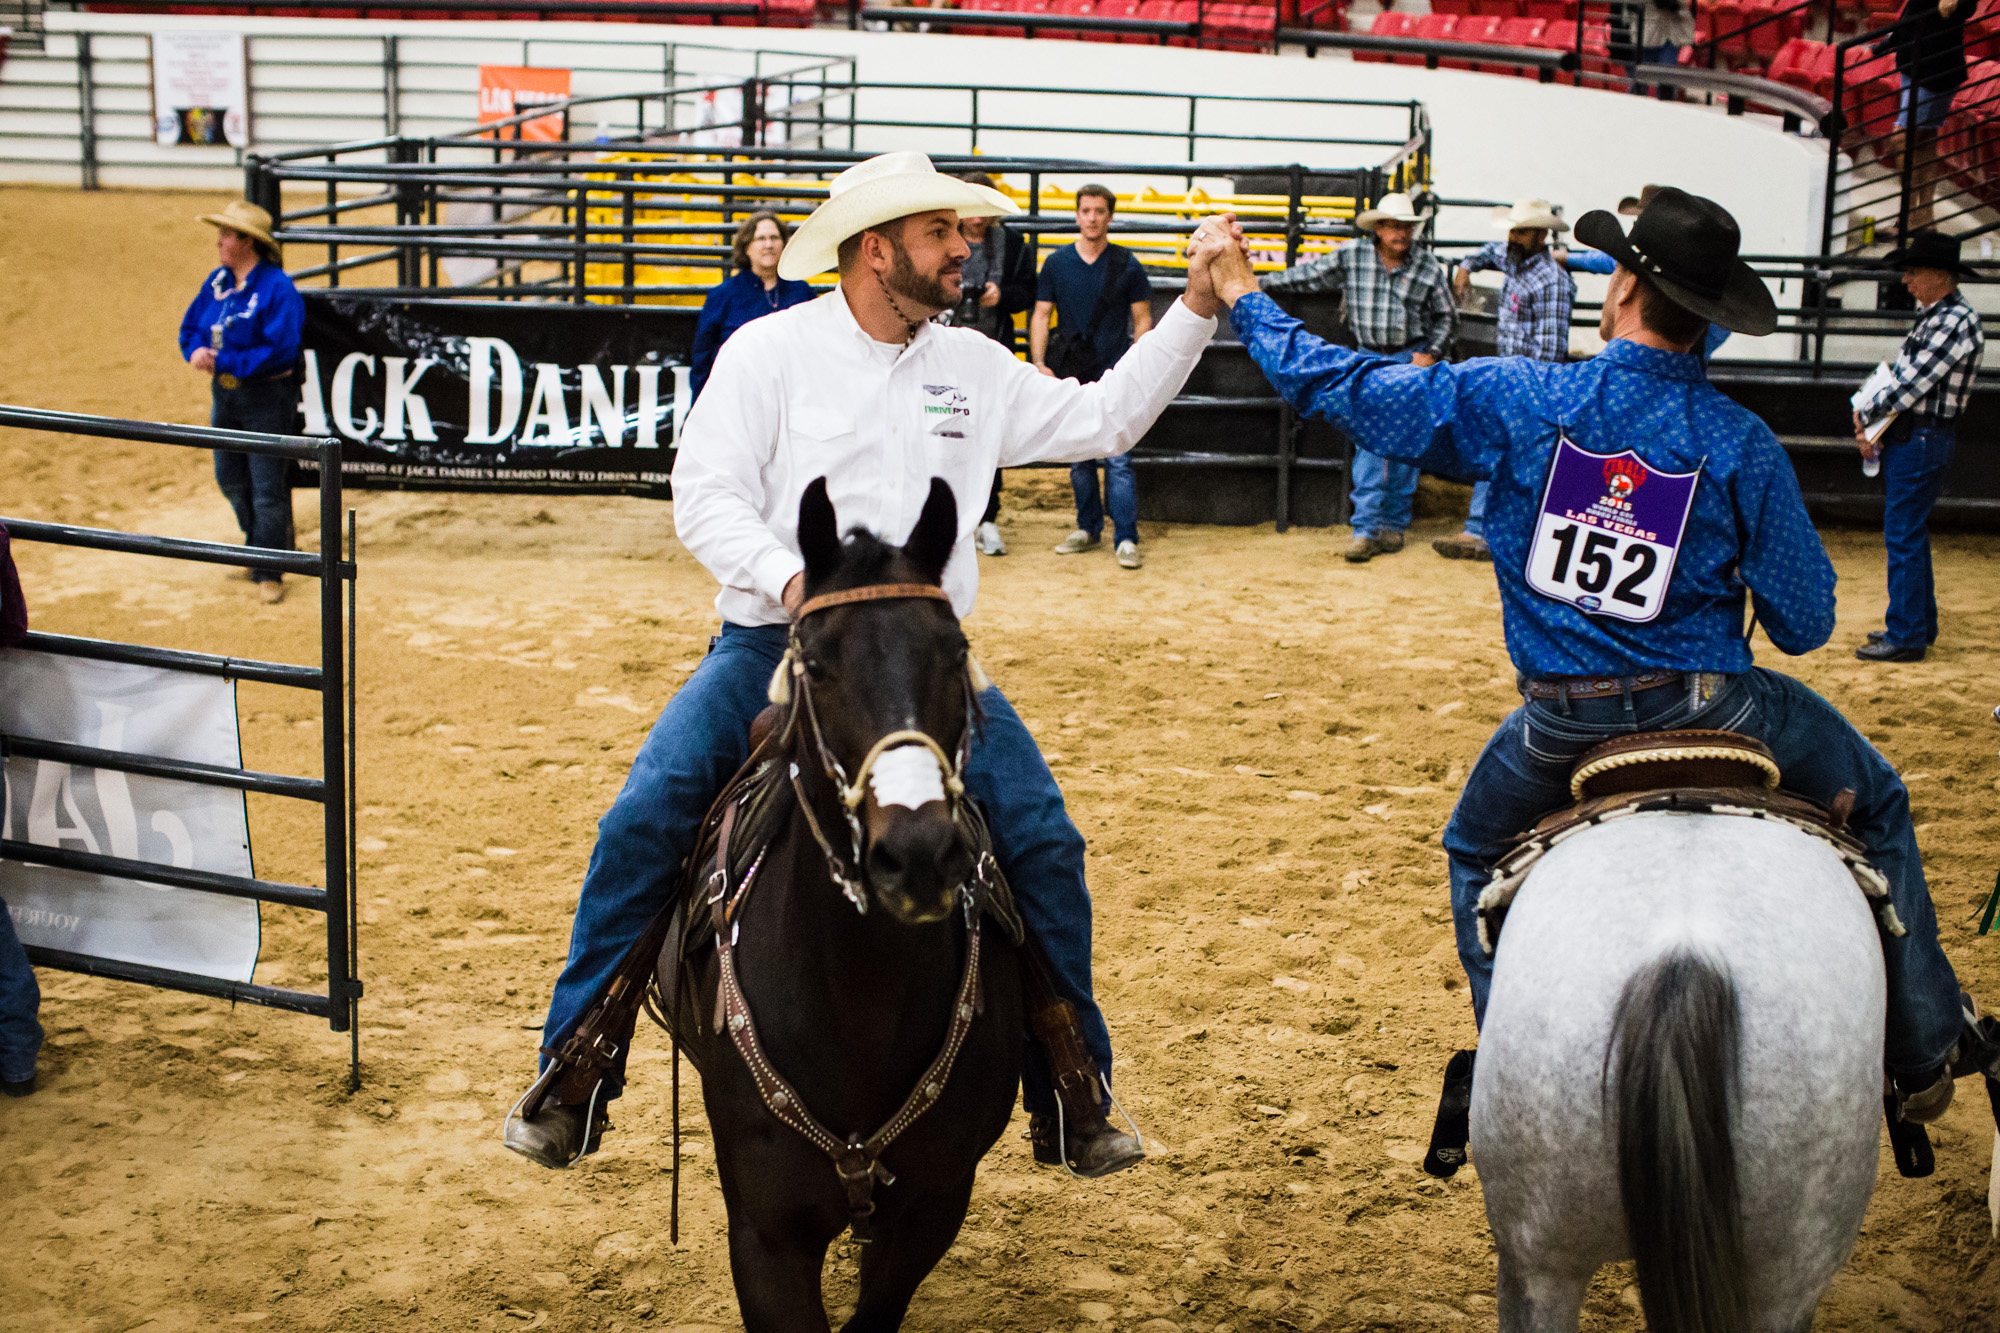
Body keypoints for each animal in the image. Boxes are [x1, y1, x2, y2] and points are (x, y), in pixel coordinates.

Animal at [664, 478, 1024, 1328]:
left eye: (954, 651)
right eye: (819, 665)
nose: (917, 853)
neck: (860, 998)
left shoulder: (932, 1209)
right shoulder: (764, 1236)